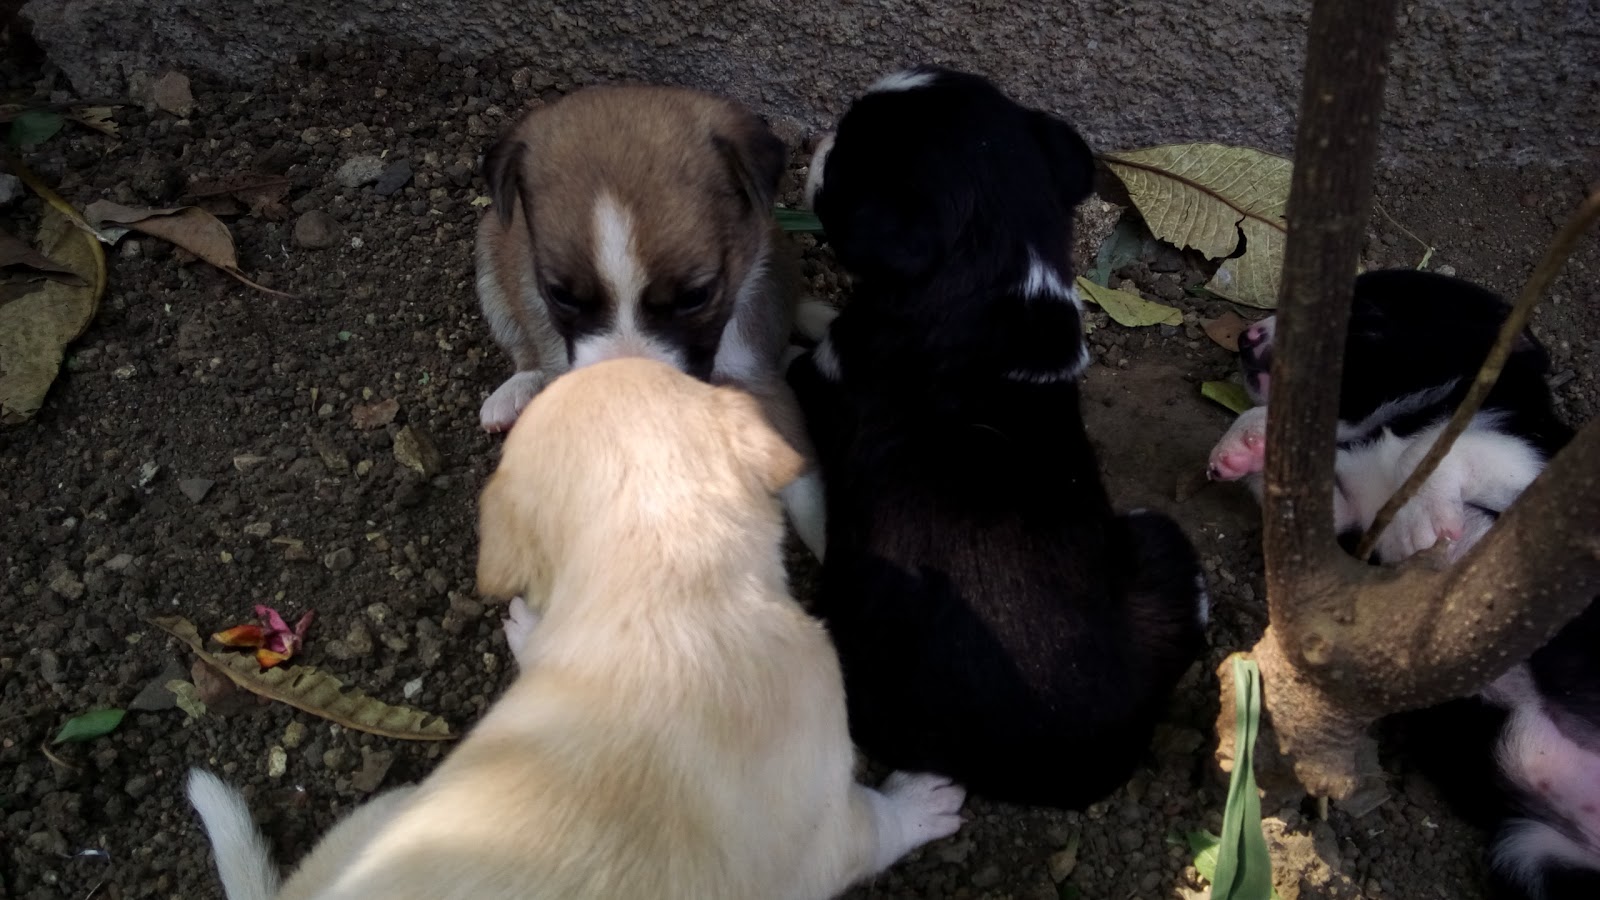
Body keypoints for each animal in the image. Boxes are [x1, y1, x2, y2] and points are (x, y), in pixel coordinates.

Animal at [786, 66, 1209, 809]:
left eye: (847, 162)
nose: (818, 141)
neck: (998, 269)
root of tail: (1086, 765)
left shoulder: (827, 370)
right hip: (1165, 549)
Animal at [1205, 268, 1599, 899]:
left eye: (1365, 313)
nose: (1245, 336)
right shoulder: (1352, 523)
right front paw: (1247, 442)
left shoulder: (1535, 468)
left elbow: (1437, 449)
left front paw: (1425, 523)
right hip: (1533, 853)